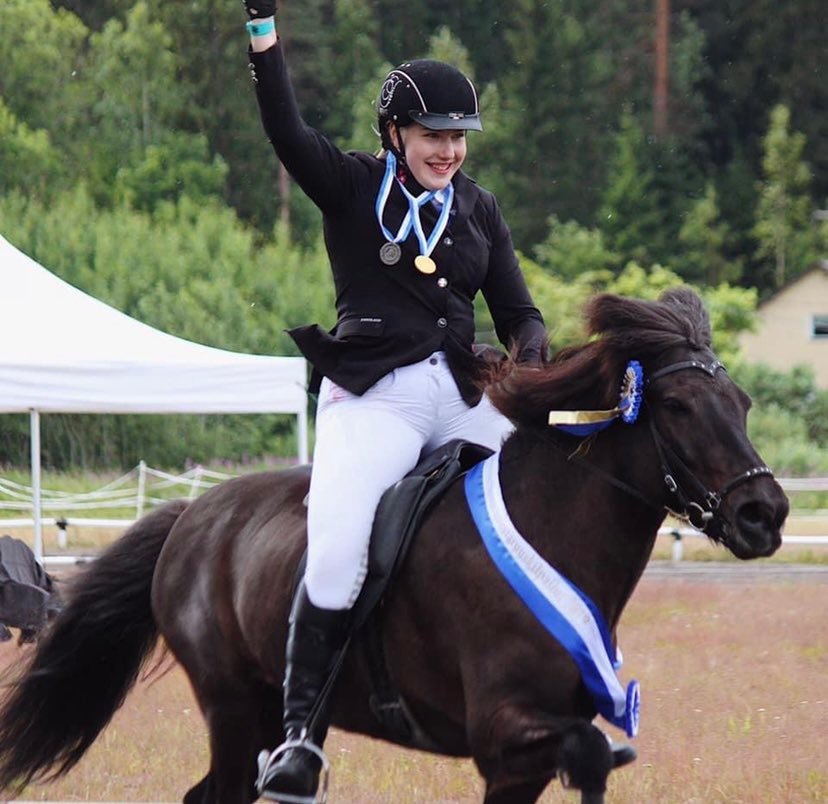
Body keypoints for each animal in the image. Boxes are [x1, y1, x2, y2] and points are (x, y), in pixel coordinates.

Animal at [0, 286, 788, 800]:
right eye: (678, 406)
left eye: (743, 404)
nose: (766, 514)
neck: (546, 537)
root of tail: (192, 516)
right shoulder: (500, 734)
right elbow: (588, 749)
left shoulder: (525, 762)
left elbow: (590, 761)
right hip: (232, 707)